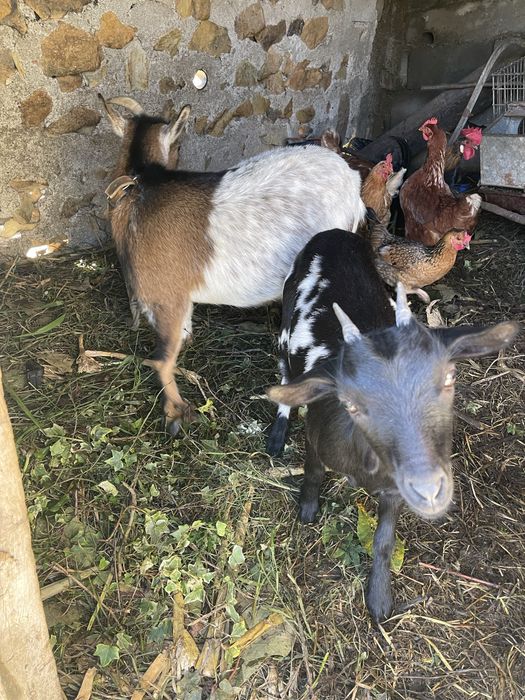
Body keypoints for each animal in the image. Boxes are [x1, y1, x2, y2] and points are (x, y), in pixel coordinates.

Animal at [99, 96, 366, 435]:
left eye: (179, 146)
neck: (141, 189)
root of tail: (352, 181)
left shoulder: (168, 296)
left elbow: (162, 358)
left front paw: (175, 413)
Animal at [266, 229, 519, 621]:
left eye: (449, 378)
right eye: (351, 402)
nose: (429, 488)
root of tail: (333, 233)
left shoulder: (394, 490)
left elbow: (384, 541)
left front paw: (379, 599)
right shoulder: (315, 438)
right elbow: (312, 472)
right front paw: (307, 510)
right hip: (286, 314)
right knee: (284, 370)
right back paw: (277, 433)